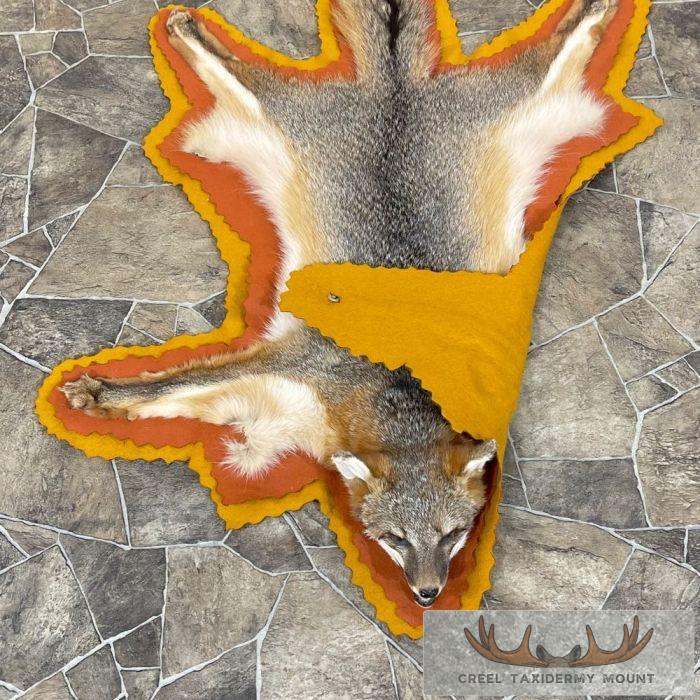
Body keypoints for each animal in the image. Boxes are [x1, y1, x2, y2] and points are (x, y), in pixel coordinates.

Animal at [61, 0, 618, 607]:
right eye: (395, 538)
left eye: (452, 535)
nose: (428, 596)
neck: (398, 388)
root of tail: (394, 90)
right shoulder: (296, 372)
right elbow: (174, 386)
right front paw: (104, 392)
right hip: (275, 119)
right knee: (238, 69)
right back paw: (190, 31)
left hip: (532, 116)